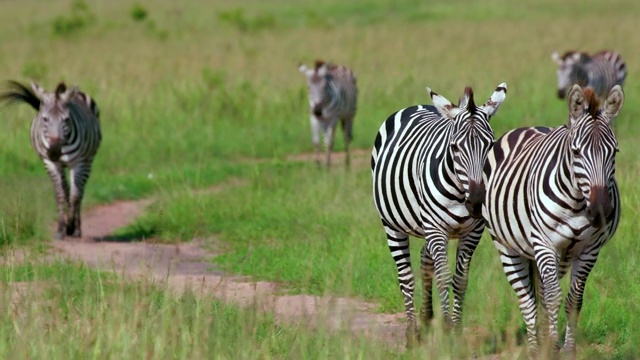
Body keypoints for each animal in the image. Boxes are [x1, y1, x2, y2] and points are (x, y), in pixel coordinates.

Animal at [0, 80, 101, 240]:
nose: (54, 151)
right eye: (45, 119)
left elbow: (75, 195)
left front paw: (71, 226)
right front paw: (61, 229)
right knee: (66, 190)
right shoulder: (51, 163)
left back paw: (76, 228)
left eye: (66, 119)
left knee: (79, 192)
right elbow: (60, 194)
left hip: (88, 160)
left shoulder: (78, 163)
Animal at [372, 82, 508, 346]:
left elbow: (460, 280)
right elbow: (443, 277)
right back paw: (412, 333)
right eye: (454, 147)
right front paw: (446, 331)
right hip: (391, 224)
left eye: (490, 145)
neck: (460, 192)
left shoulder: (473, 232)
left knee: (425, 259)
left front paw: (455, 329)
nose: (477, 203)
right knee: (406, 276)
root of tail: (417, 106)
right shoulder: (436, 228)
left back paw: (426, 318)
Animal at [482, 84, 624, 358]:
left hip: (557, 256)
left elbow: (573, 300)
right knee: (527, 299)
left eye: (614, 152)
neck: (578, 203)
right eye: (576, 152)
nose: (600, 211)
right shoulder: (544, 243)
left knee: (543, 292)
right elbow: (552, 298)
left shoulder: (589, 249)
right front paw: (552, 347)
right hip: (507, 245)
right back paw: (534, 347)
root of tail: (528, 127)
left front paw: (567, 348)